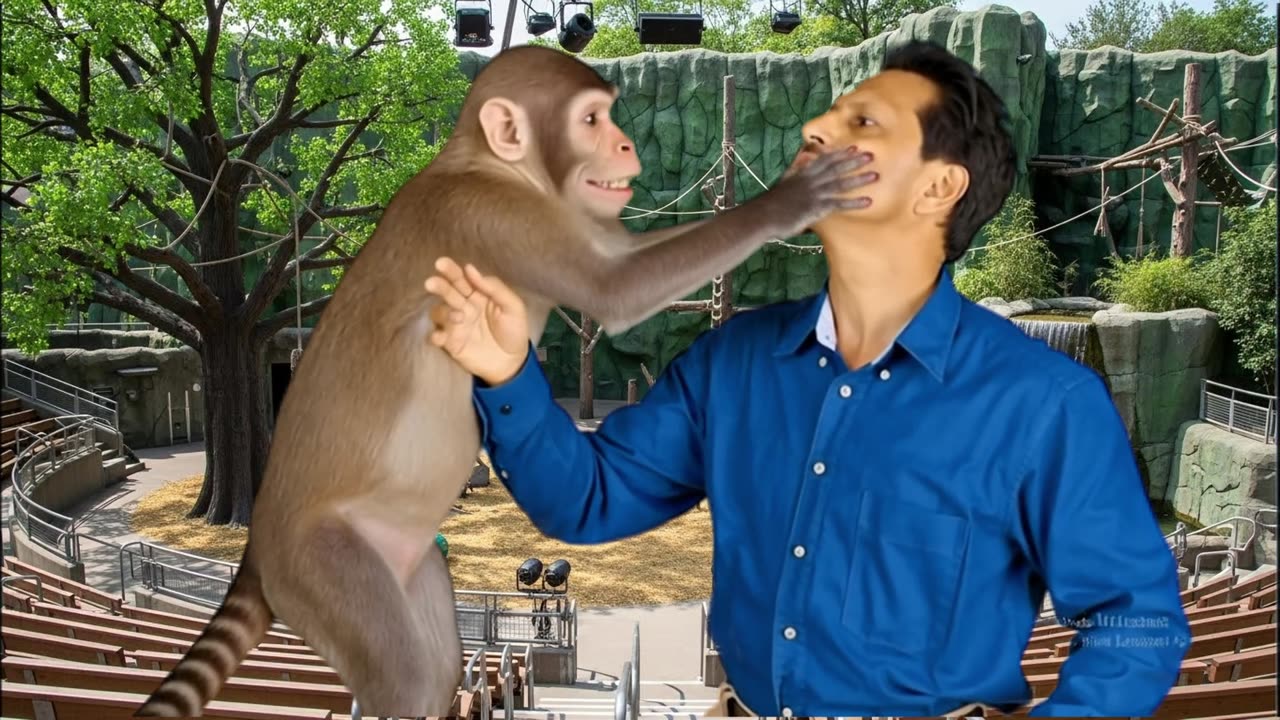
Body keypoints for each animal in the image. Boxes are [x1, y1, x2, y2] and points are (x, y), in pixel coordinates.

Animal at [135, 45, 876, 718]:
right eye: (591, 119)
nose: (626, 144)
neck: (484, 161)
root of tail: (260, 543)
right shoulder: (491, 214)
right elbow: (615, 287)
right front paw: (790, 199)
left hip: (400, 565)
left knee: (432, 665)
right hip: (325, 561)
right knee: (404, 676)